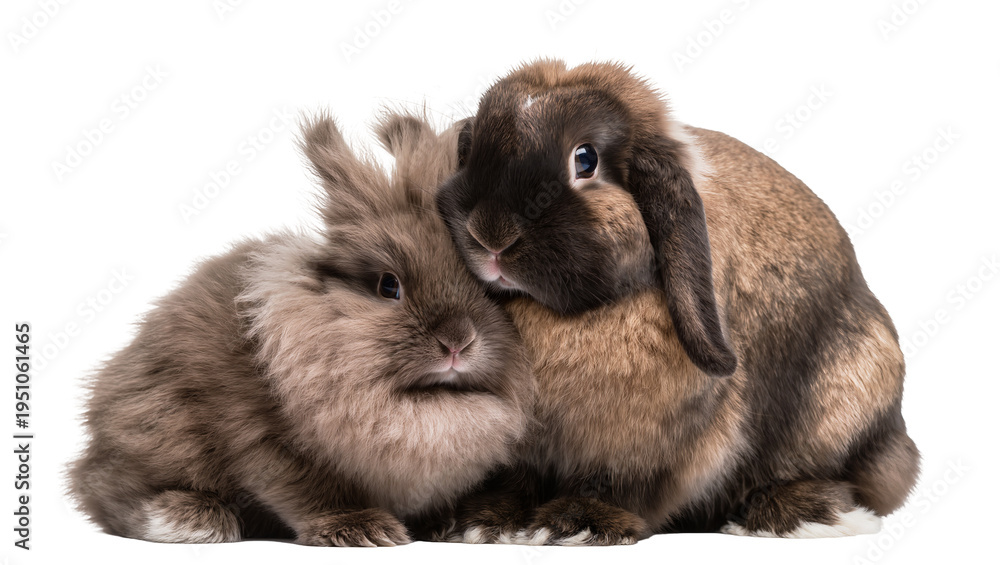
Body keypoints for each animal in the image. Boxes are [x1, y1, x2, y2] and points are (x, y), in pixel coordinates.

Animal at [67, 111, 534, 547]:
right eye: (389, 285)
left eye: (486, 289)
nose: (458, 341)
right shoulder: (267, 440)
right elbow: (309, 492)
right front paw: (362, 529)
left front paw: (447, 525)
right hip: (159, 428)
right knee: (107, 492)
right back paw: (189, 518)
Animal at [428, 59, 920, 544]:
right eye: (471, 154)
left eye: (585, 160)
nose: (489, 233)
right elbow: (513, 482)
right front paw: (485, 523)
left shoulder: (642, 448)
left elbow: (613, 485)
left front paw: (577, 523)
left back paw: (794, 516)